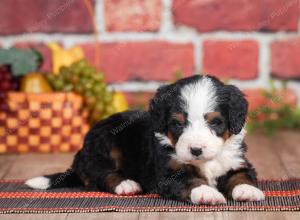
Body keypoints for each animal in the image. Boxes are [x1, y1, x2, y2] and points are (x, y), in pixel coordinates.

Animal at [26, 75, 264, 205]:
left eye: (215, 122)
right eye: (178, 124)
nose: (196, 150)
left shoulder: (236, 160)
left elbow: (241, 175)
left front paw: (248, 190)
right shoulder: (169, 172)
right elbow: (191, 180)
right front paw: (207, 193)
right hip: (105, 142)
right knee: (100, 174)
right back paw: (126, 184)